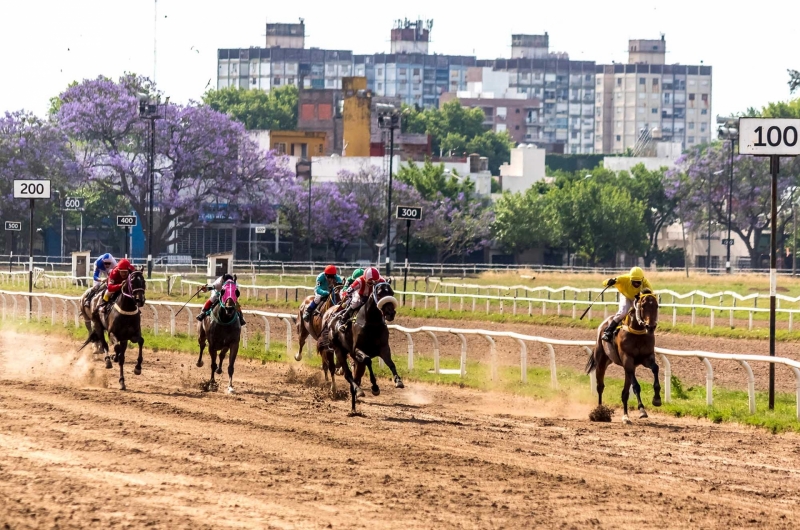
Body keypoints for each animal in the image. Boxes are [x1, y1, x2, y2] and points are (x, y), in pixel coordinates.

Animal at [588, 286, 664, 422]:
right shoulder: (627, 359)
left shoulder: (646, 357)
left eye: (656, 305)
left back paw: (626, 416)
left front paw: (657, 399)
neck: (637, 333)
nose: (650, 327)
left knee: (624, 393)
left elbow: (655, 368)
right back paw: (600, 413)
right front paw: (642, 410)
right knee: (600, 386)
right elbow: (636, 386)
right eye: (643, 306)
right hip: (602, 361)